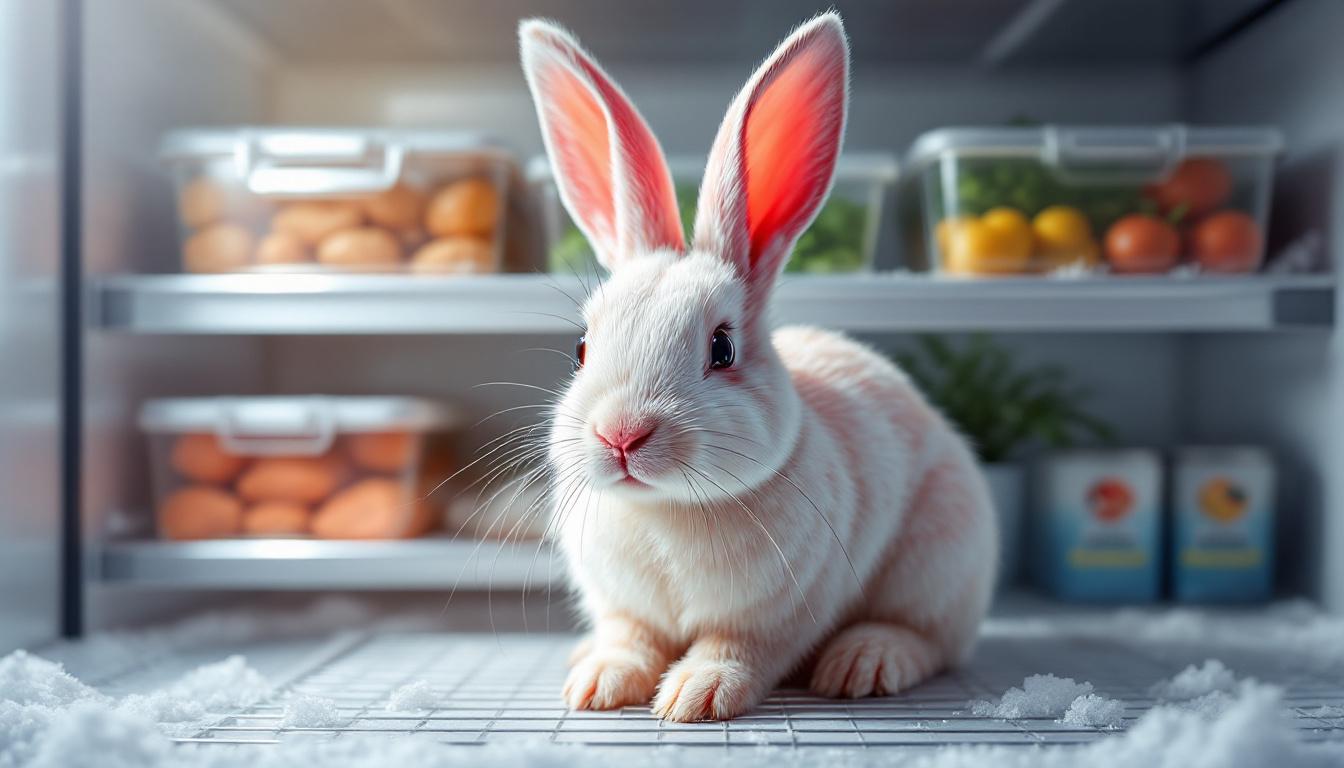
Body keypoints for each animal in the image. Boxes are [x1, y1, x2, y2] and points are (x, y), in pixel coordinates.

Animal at [519, 11, 998, 722]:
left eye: (722, 349)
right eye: (581, 348)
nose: (620, 436)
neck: (666, 509)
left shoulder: (779, 614)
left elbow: (738, 650)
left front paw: (694, 696)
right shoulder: (625, 609)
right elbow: (629, 639)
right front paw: (597, 686)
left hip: (939, 560)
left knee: (930, 639)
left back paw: (864, 663)